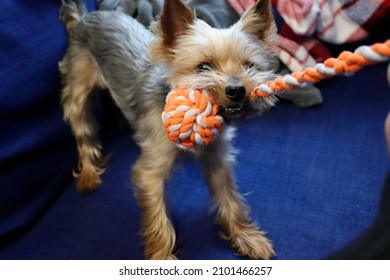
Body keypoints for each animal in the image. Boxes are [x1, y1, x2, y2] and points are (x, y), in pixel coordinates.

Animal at [58, 0, 278, 260]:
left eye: (249, 65)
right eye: (203, 67)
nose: (237, 90)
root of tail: (84, 18)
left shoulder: (217, 159)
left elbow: (229, 196)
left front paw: (246, 236)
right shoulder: (150, 172)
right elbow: (157, 217)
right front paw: (162, 255)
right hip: (78, 85)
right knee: (82, 129)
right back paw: (89, 174)